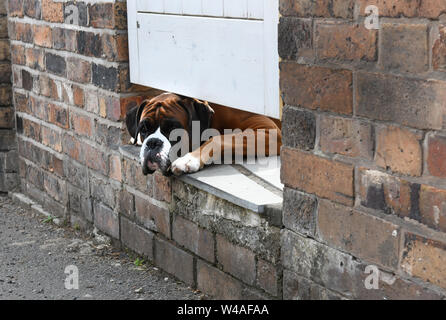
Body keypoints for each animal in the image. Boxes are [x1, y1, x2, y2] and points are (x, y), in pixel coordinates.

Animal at [123, 92, 280, 176]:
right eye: (143, 129)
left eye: (173, 129)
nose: (153, 143)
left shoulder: (269, 131)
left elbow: (218, 138)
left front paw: (189, 159)